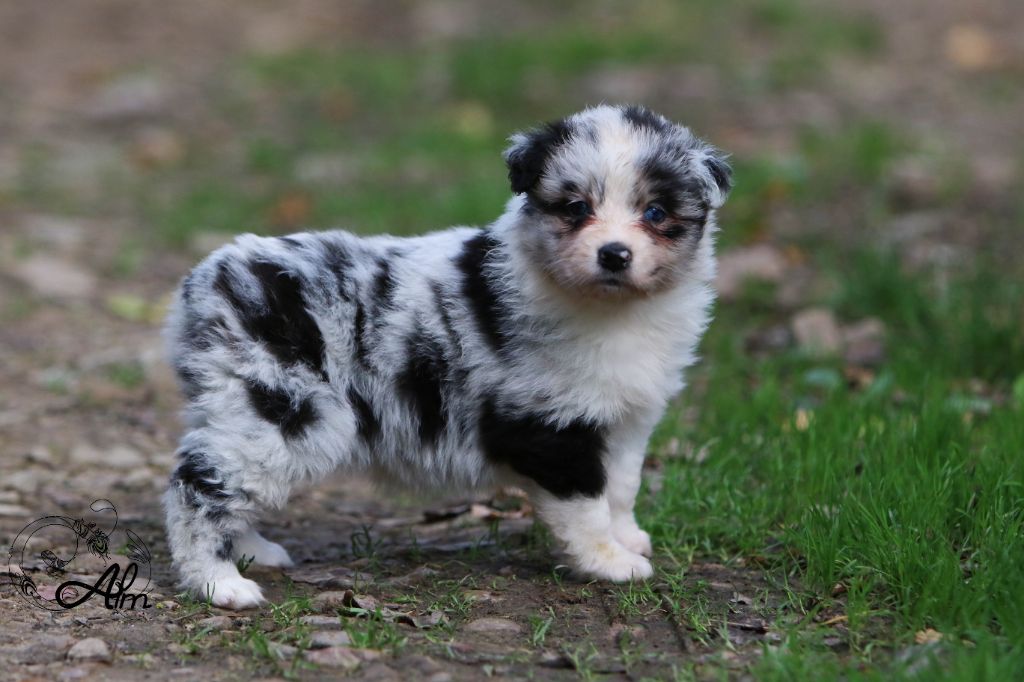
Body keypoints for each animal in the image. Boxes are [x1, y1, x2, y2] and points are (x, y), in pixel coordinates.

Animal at [163, 102, 733, 606]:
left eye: (655, 212)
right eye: (577, 209)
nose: (614, 255)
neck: (612, 310)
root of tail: (204, 282)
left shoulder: (624, 419)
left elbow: (621, 487)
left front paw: (628, 538)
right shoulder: (549, 424)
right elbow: (586, 502)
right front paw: (610, 563)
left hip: (243, 411)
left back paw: (252, 552)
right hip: (280, 411)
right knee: (198, 486)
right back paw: (220, 584)